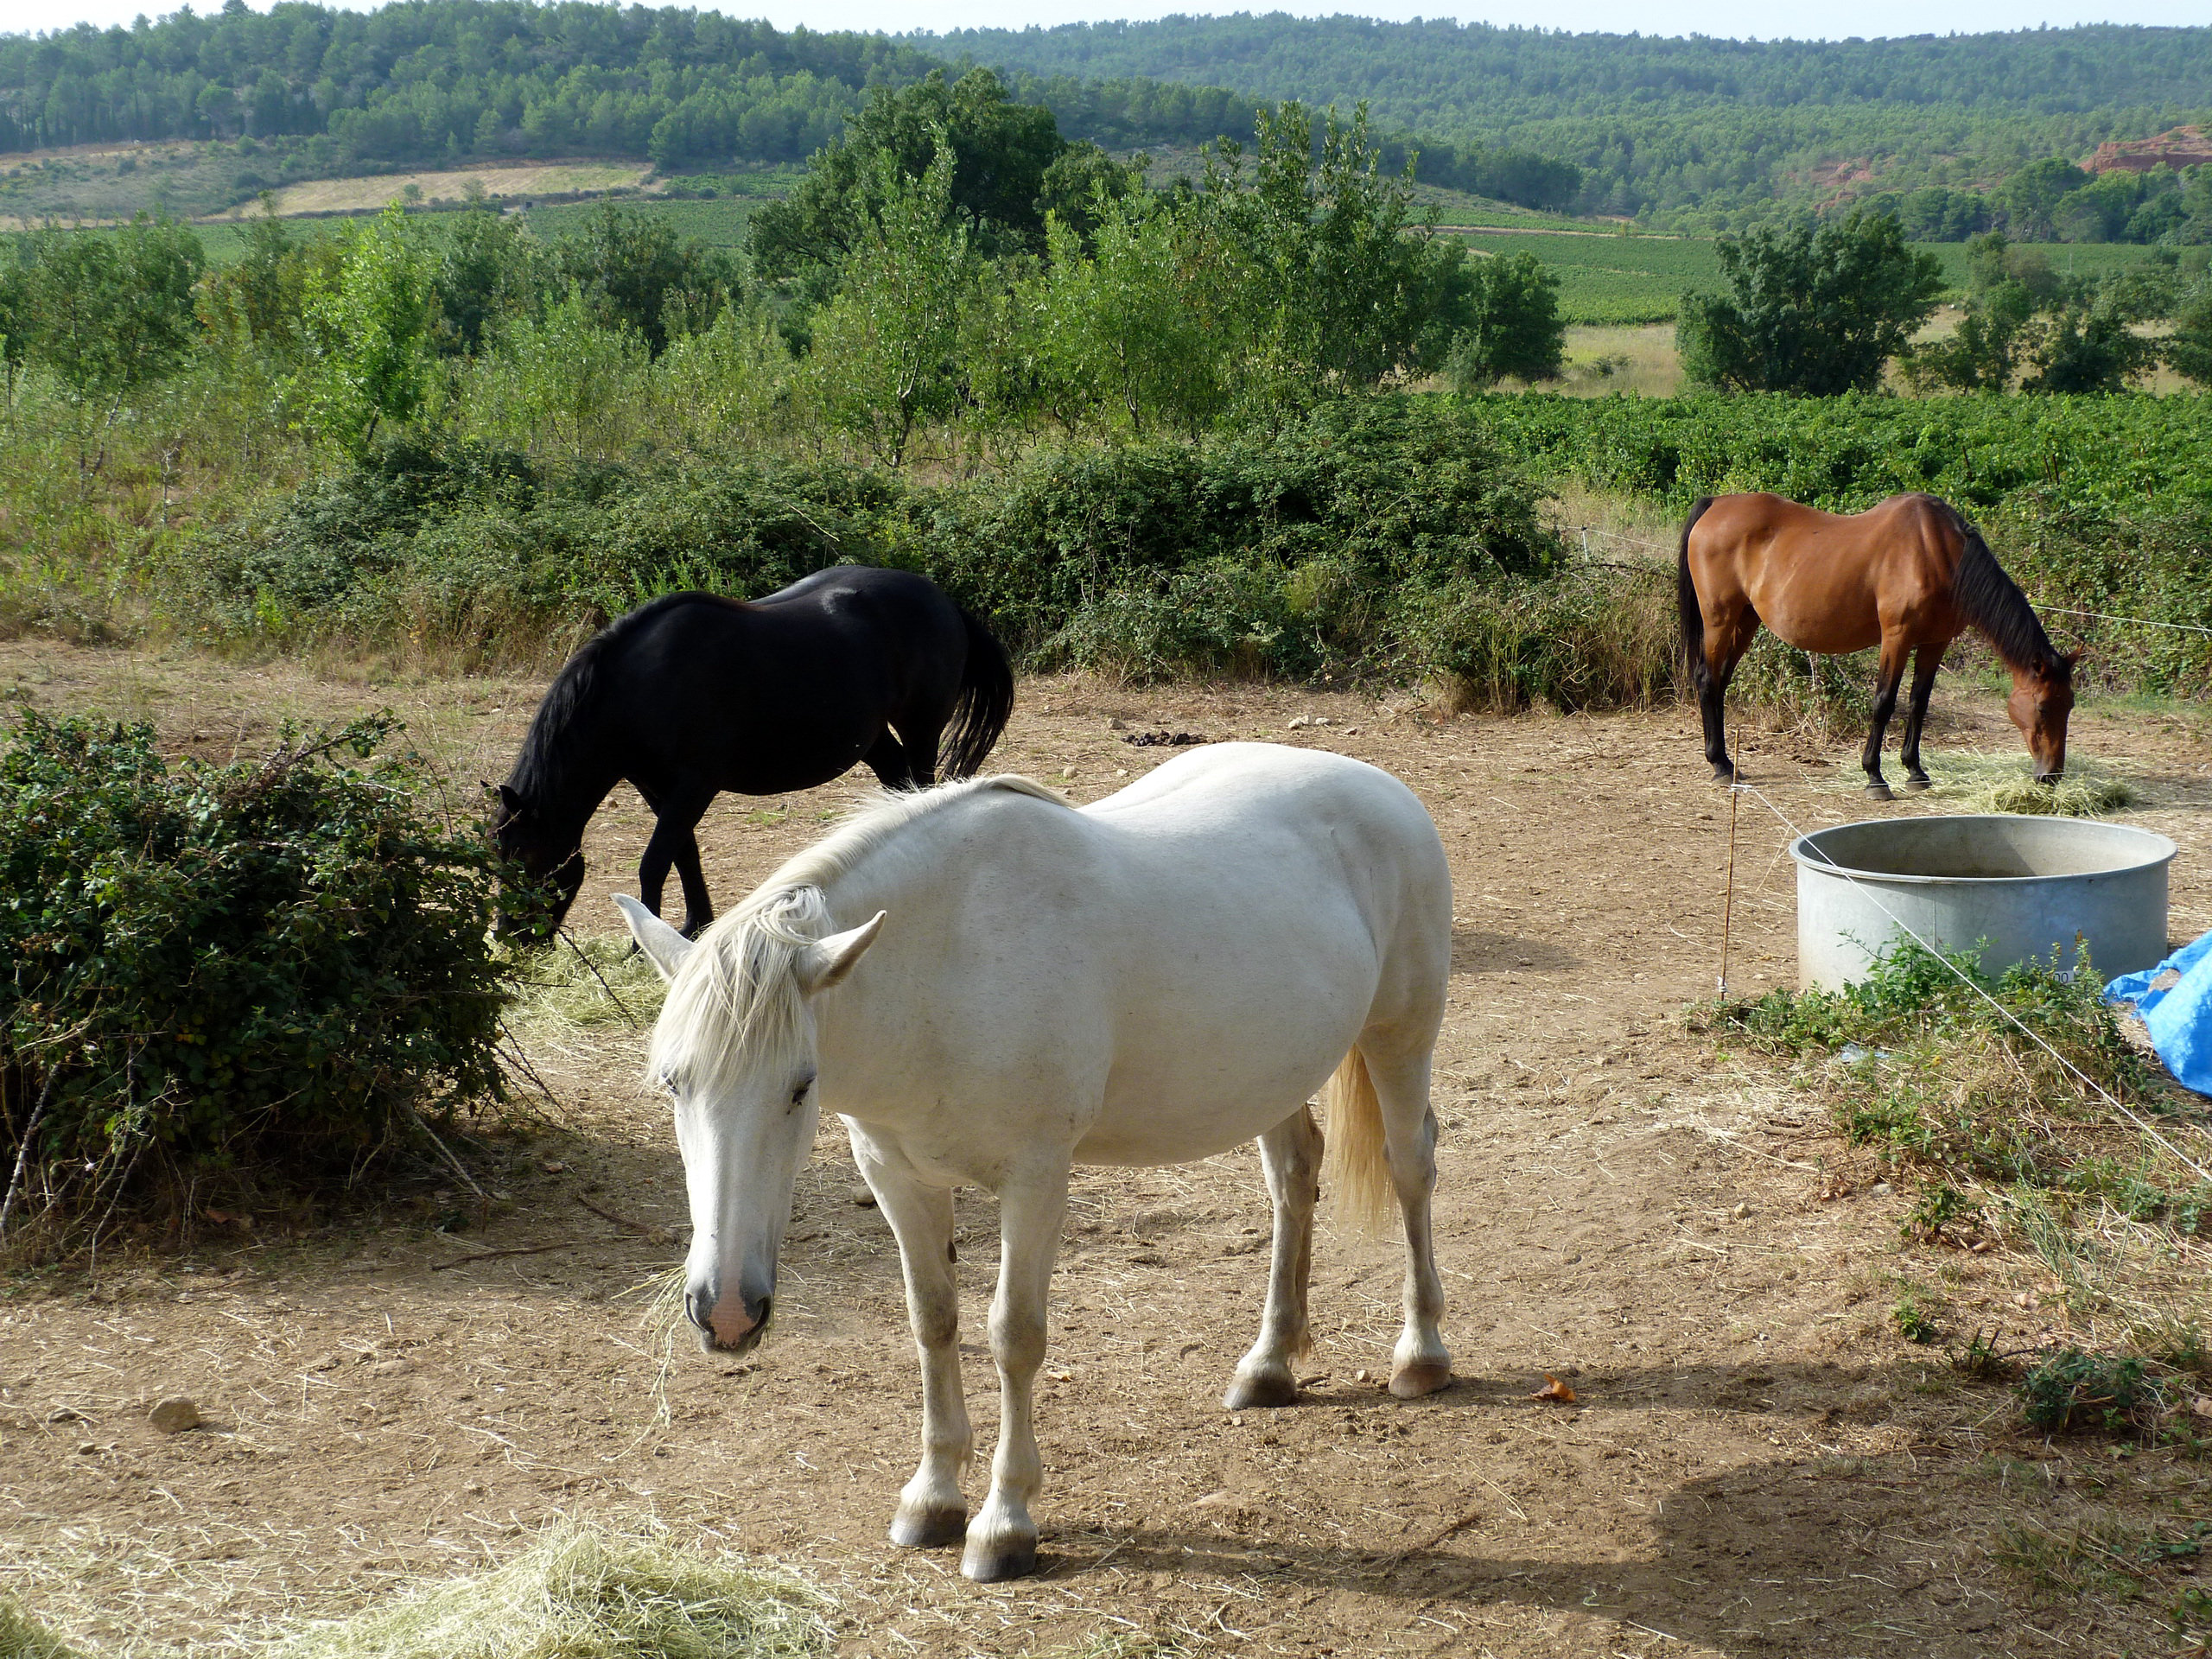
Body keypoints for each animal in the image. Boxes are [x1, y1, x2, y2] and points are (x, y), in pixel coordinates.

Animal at [493, 570, 1013, 938]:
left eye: (526, 858)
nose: (512, 937)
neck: (638, 686)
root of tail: (942, 599)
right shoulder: (657, 788)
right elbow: (685, 855)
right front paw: (694, 925)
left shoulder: (694, 786)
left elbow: (655, 861)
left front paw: (642, 943)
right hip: (873, 739)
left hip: (921, 728)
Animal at [614, 743, 1459, 1583]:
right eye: (674, 1083)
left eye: (799, 1085)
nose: (726, 1312)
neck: (947, 966)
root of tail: (1379, 787)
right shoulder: (898, 1178)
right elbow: (933, 1321)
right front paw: (931, 1500)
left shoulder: (1036, 1181)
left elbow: (1013, 1335)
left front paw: (1003, 1524)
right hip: (1273, 1076)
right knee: (1293, 1179)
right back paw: (1268, 1366)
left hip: (1401, 1039)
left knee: (1411, 1166)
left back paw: (1420, 1355)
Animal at [1681, 491, 2079, 800]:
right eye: (2043, 707)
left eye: (2069, 706)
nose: (2051, 775)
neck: (1937, 554)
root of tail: (1717, 504)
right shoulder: (1897, 637)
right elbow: (1884, 703)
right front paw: (1875, 776)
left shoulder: (1935, 643)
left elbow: (1919, 704)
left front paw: (1915, 771)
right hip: (1719, 620)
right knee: (1707, 679)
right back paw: (1719, 764)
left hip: (1745, 621)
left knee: (1720, 682)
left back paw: (1726, 762)